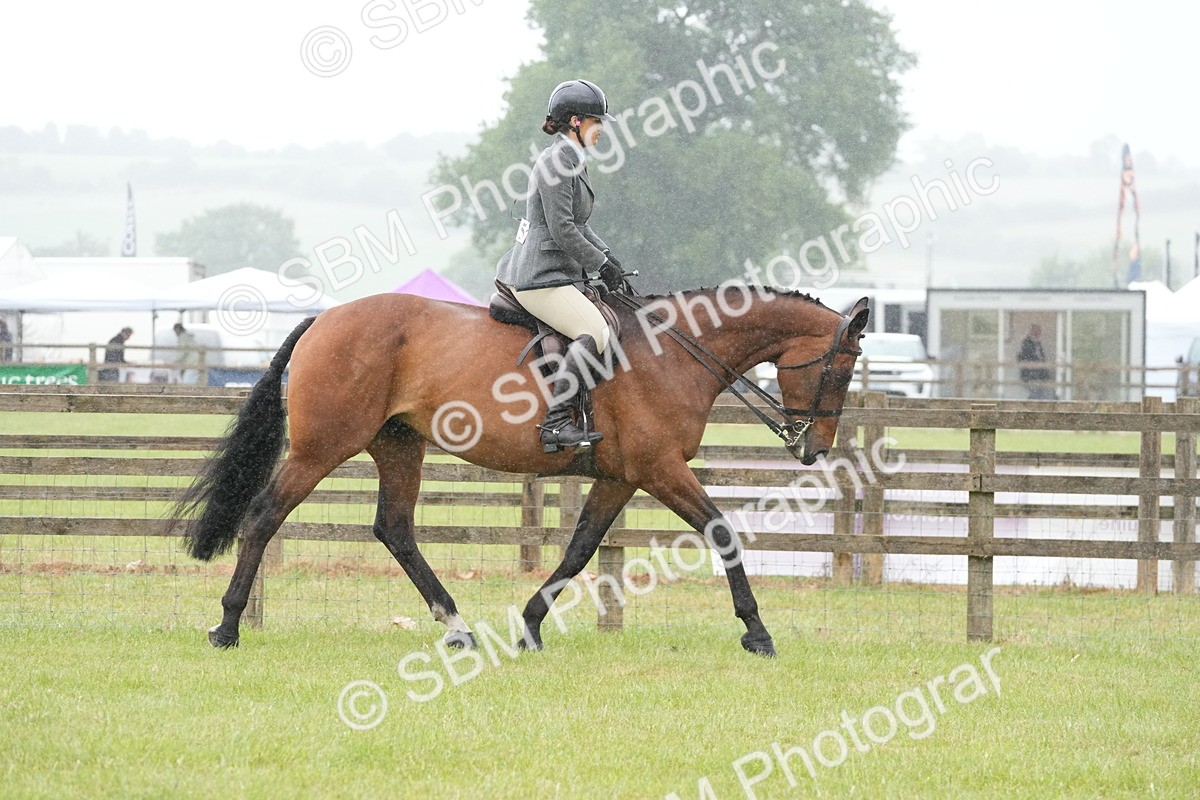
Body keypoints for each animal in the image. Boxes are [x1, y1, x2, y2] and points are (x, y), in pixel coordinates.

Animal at [170, 285, 869, 656]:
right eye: (840, 370)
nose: (814, 448)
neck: (674, 353)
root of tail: (327, 317)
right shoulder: (660, 468)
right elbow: (722, 531)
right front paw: (758, 633)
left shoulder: (621, 476)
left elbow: (580, 549)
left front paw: (530, 626)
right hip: (322, 447)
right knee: (264, 515)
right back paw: (227, 626)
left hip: (398, 445)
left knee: (395, 529)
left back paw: (457, 628)